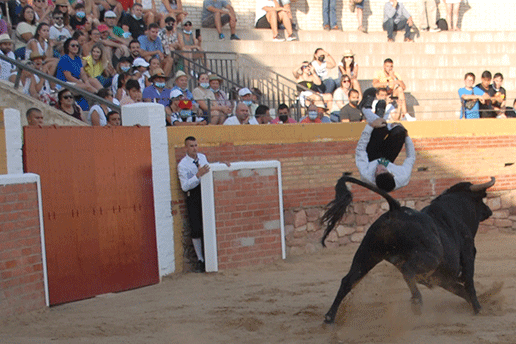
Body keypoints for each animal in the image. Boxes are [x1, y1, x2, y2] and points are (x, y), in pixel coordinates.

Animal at [320, 176, 494, 324]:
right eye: (481, 198)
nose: (489, 211)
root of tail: (395, 209)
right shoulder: (468, 253)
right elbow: (469, 283)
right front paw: (478, 309)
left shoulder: (443, 278)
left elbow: (460, 289)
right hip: (431, 257)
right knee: (406, 269)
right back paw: (417, 303)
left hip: (368, 253)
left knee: (348, 281)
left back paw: (329, 317)